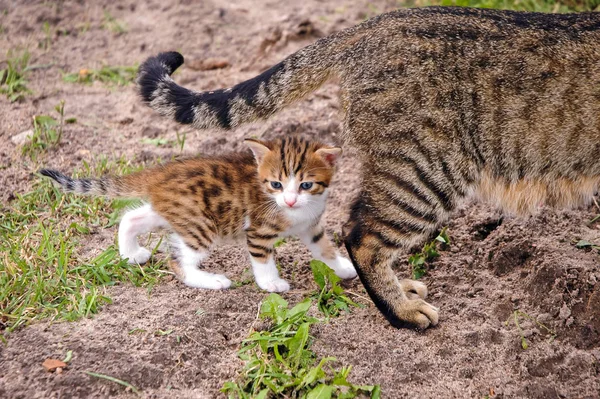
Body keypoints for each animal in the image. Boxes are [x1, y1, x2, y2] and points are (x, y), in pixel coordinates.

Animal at [41, 139, 356, 292]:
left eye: (306, 185)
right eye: (275, 184)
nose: (289, 200)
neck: (297, 211)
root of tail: (162, 172)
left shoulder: (311, 227)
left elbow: (324, 249)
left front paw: (343, 267)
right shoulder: (258, 231)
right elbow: (263, 259)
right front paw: (271, 284)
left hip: (172, 212)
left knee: (130, 218)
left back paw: (131, 253)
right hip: (201, 226)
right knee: (178, 262)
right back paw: (212, 280)